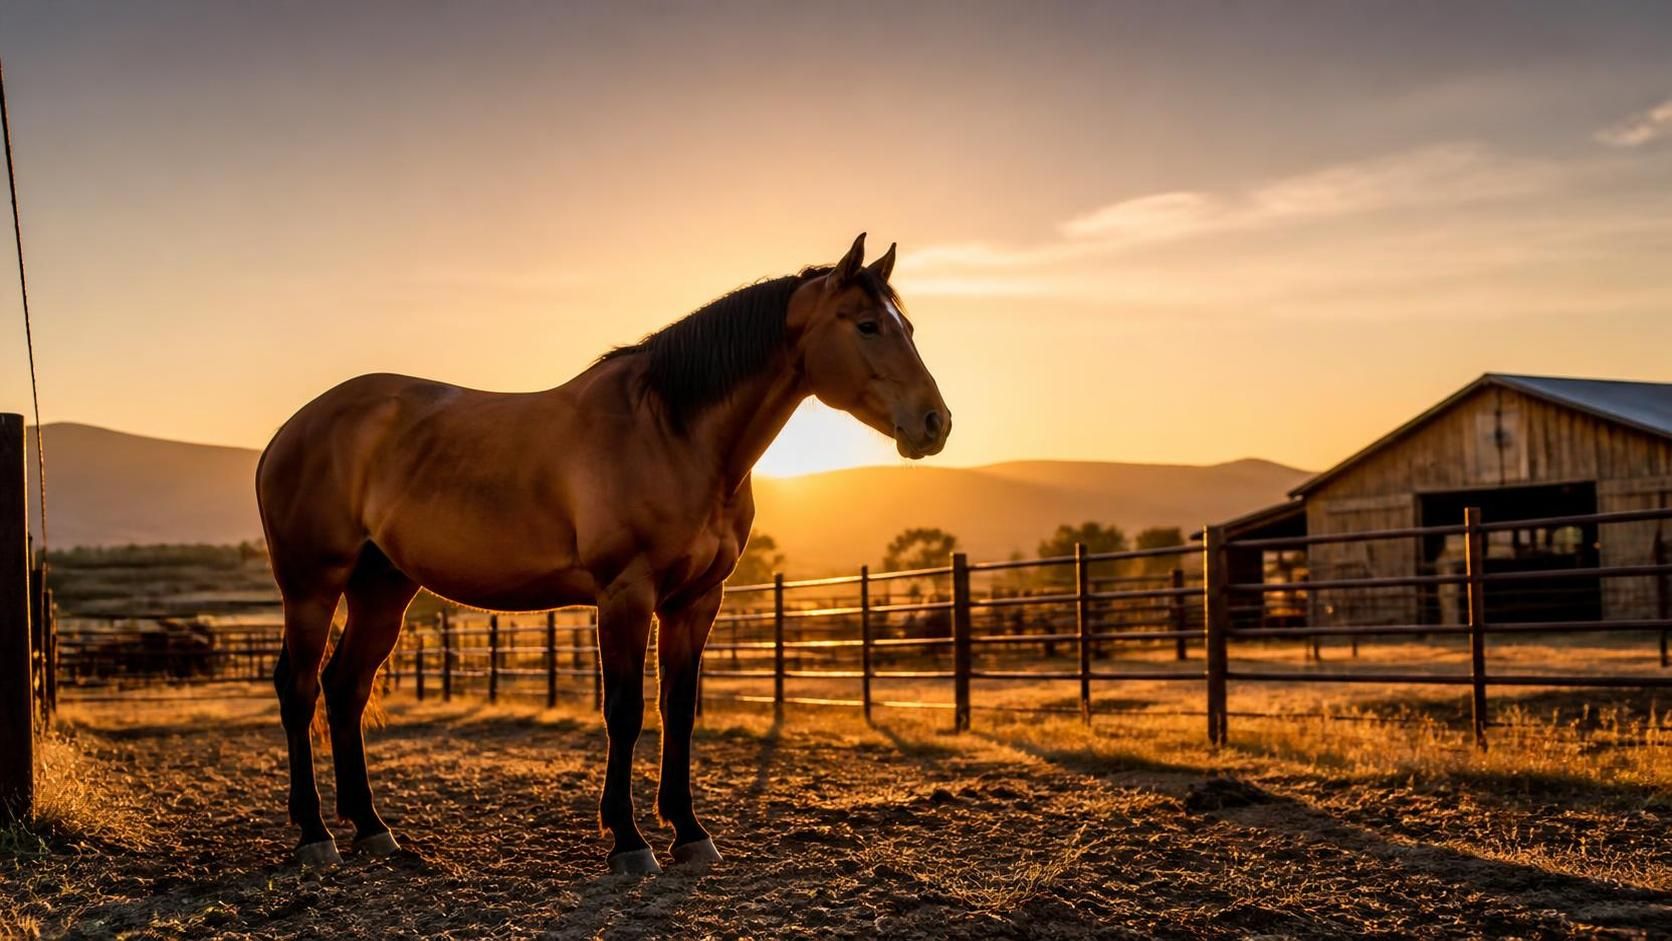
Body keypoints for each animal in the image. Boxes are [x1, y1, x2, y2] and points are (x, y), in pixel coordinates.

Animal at [256, 234, 950, 873]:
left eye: (909, 327)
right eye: (866, 325)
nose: (934, 423)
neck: (671, 432)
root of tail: (291, 430)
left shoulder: (697, 602)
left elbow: (678, 711)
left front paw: (689, 833)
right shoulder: (625, 594)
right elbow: (625, 711)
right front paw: (629, 841)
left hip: (382, 590)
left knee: (345, 688)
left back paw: (372, 829)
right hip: (312, 587)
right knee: (299, 687)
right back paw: (315, 835)